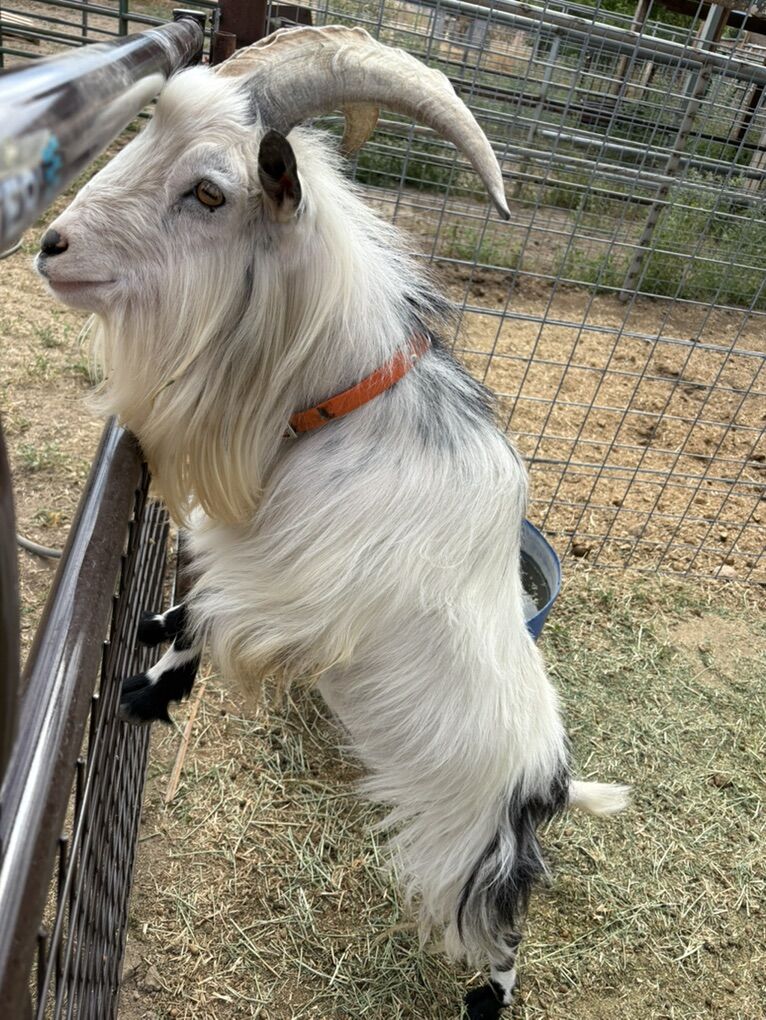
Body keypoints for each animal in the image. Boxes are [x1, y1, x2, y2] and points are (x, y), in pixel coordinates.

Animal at [36, 26, 629, 1017]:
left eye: (209, 191)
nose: (51, 245)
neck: (342, 409)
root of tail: (549, 783)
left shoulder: (294, 597)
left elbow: (216, 622)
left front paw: (145, 693)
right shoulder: (244, 546)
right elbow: (196, 596)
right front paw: (154, 636)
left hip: (470, 853)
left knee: (499, 926)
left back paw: (488, 997)